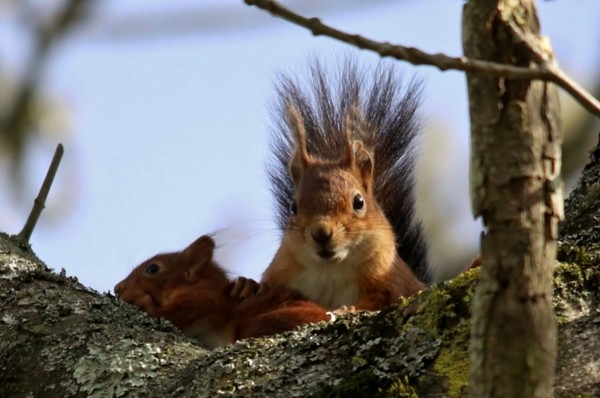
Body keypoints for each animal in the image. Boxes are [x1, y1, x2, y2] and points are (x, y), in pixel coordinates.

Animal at [233, 61, 426, 310]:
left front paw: (349, 308)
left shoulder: (394, 281)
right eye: (293, 207)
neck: (331, 270)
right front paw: (248, 285)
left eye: (358, 202)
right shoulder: (281, 272)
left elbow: (382, 298)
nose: (321, 233)